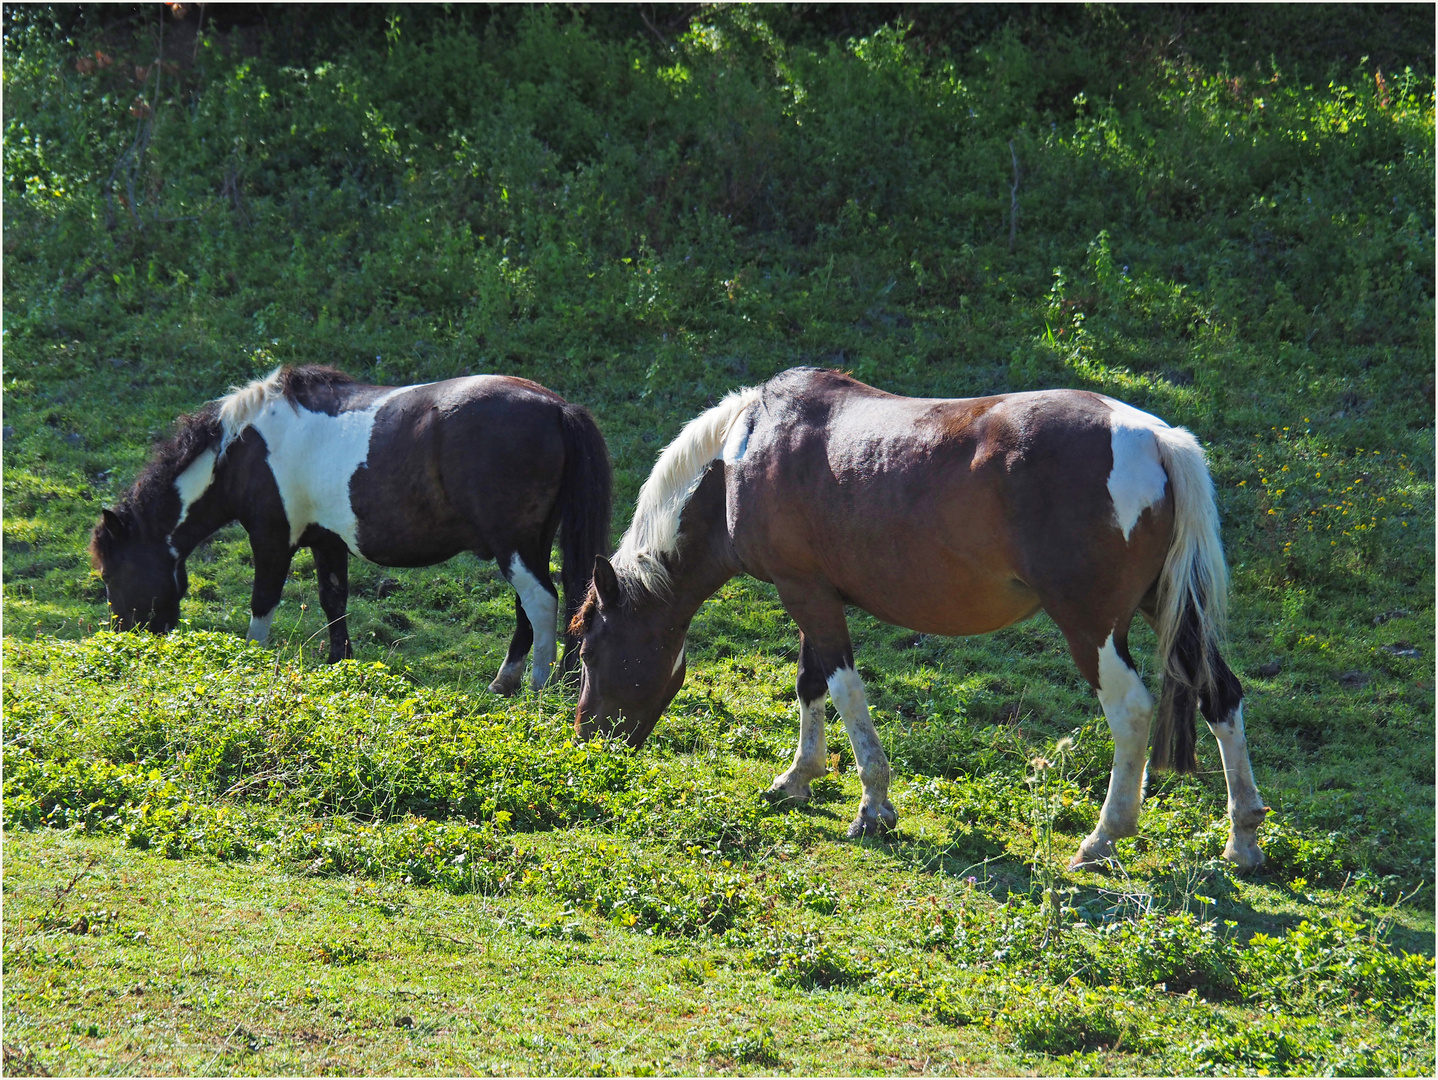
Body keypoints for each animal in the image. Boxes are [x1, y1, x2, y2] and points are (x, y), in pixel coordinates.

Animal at [94, 368, 612, 696]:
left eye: (108, 574)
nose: (124, 641)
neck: (244, 449)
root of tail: (558, 407)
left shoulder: (272, 538)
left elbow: (263, 604)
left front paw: (253, 663)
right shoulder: (326, 541)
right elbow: (334, 601)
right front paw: (338, 663)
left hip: (515, 546)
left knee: (541, 603)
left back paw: (537, 685)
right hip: (529, 545)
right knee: (534, 607)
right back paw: (507, 681)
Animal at [572, 371, 1271, 868]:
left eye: (587, 650)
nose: (587, 739)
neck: (749, 448)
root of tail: (1153, 438)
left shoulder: (808, 596)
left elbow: (844, 691)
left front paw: (872, 806)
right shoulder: (812, 596)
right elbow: (810, 684)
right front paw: (799, 777)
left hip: (1092, 629)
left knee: (1130, 714)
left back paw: (1102, 840)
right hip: (1169, 613)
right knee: (1221, 696)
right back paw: (1242, 840)